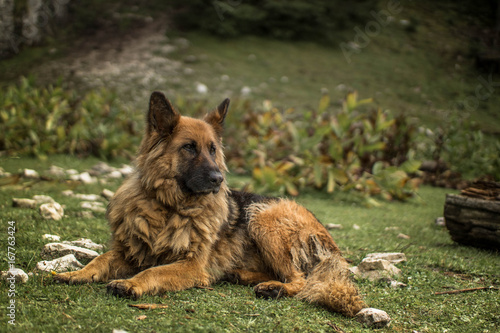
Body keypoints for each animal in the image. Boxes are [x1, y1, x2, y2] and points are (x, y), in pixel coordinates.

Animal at [54, 91, 366, 316]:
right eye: (189, 147)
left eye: (213, 150)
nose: (218, 179)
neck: (169, 207)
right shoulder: (129, 251)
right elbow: (100, 259)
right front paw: (75, 273)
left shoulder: (191, 265)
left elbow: (154, 270)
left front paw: (131, 283)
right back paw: (243, 275)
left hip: (263, 217)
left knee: (300, 279)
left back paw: (273, 289)